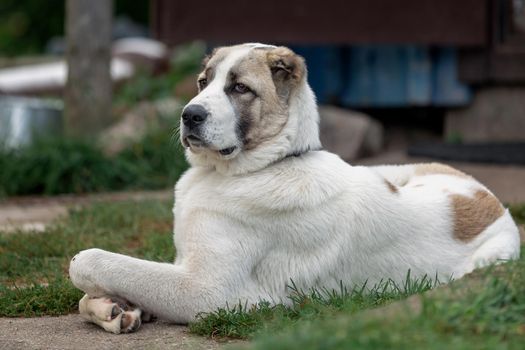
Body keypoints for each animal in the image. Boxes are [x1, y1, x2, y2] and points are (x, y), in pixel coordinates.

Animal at [69, 43, 520, 334]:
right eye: (202, 83)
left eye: (239, 88)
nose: (189, 115)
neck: (264, 166)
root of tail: (493, 201)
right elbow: (96, 289)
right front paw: (113, 308)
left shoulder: (205, 291)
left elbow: (88, 261)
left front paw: (108, 294)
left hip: (486, 262)